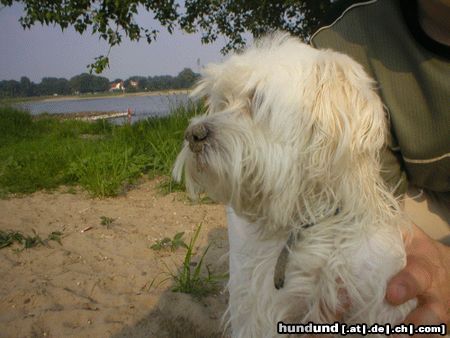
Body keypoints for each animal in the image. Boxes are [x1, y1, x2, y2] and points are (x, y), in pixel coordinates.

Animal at [172, 33, 414, 336]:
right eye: (223, 102)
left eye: (257, 101)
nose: (193, 134)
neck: (306, 223)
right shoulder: (263, 311)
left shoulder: (374, 292)